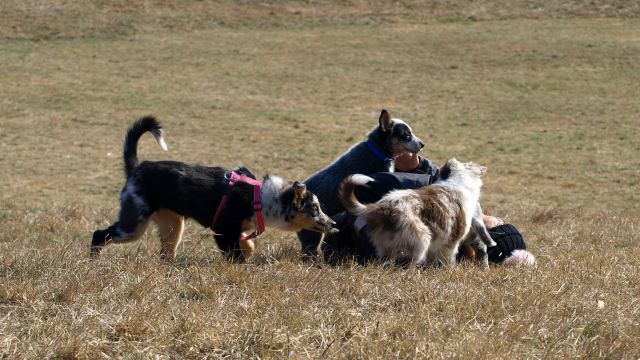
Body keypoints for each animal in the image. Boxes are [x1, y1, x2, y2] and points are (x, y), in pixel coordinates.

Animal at [94, 116, 340, 260]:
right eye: (315, 209)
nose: (333, 224)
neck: (260, 198)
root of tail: (136, 168)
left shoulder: (239, 230)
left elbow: (248, 246)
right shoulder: (223, 229)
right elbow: (235, 256)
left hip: (172, 225)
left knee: (166, 253)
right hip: (133, 224)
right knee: (99, 235)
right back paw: (93, 261)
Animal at [342, 159, 488, 266]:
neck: (457, 181)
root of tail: (379, 208)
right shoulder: (451, 241)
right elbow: (448, 259)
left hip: (386, 245)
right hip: (420, 238)